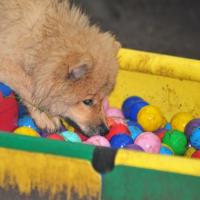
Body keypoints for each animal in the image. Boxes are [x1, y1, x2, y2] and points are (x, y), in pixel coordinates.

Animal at [0, 0, 119, 137]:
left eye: (102, 99)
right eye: (88, 101)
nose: (105, 131)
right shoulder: (6, 63)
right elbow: (30, 88)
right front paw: (46, 115)